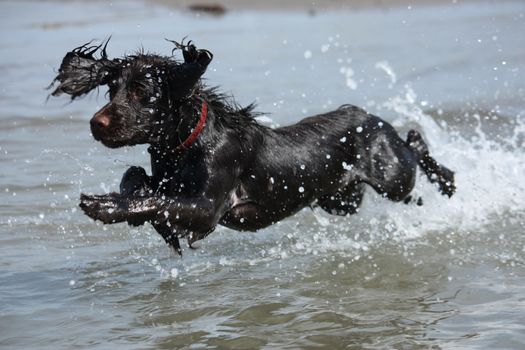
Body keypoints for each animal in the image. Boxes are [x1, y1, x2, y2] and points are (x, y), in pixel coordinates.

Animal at [50, 40, 454, 254]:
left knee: (415, 147)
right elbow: (136, 178)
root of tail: (368, 115)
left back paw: (447, 178)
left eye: (141, 92)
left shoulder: (208, 208)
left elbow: (158, 201)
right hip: (341, 200)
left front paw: (103, 206)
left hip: (392, 176)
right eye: (111, 89)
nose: (96, 124)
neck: (187, 147)